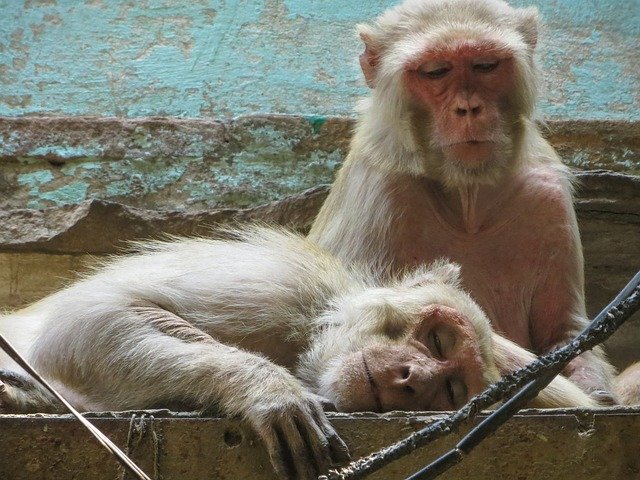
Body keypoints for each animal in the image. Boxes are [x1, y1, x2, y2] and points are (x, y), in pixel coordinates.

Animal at [0, 228, 600, 480]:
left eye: (450, 388)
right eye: (436, 343)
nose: (413, 376)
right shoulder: (278, 290)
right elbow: (86, 322)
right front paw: (268, 388)